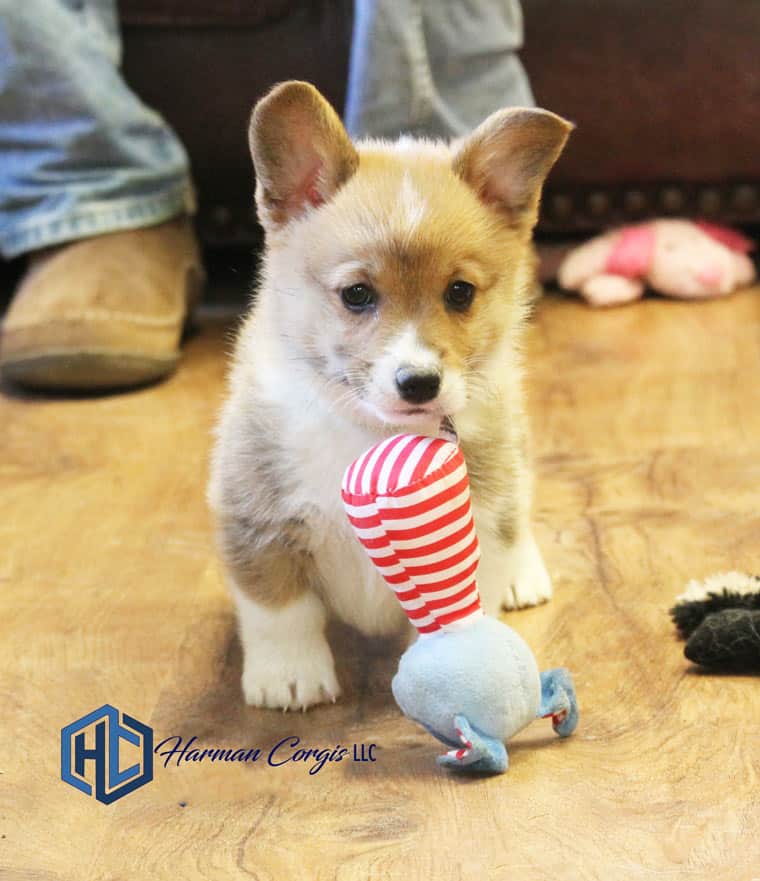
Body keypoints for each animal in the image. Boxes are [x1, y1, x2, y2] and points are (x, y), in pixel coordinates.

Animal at [208, 77, 568, 708]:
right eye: (356, 294)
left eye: (459, 292)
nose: (419, 381)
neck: (371, 433)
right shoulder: (256, 517)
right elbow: (280, 610)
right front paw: (290, 679)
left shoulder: (479, 514)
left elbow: (466, 603)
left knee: (520, 503)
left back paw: (526, 575)